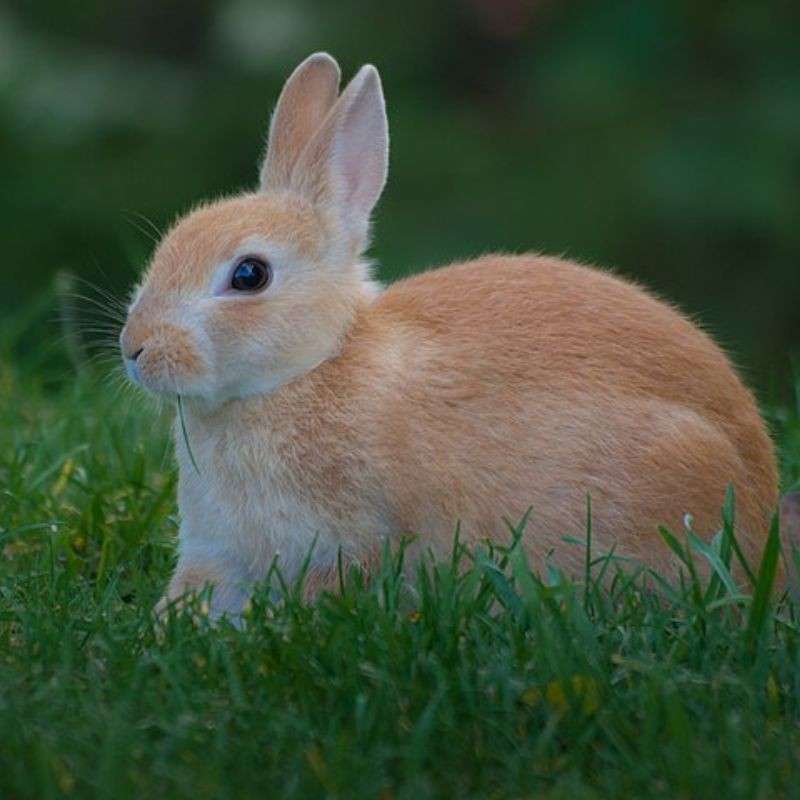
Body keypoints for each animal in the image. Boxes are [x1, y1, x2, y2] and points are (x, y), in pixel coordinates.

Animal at [120, 52, 782, 619]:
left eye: (249, 275)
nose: (135, 349)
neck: (312, 367)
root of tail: (762, 499)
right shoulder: (219, 552)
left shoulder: (347, 542)